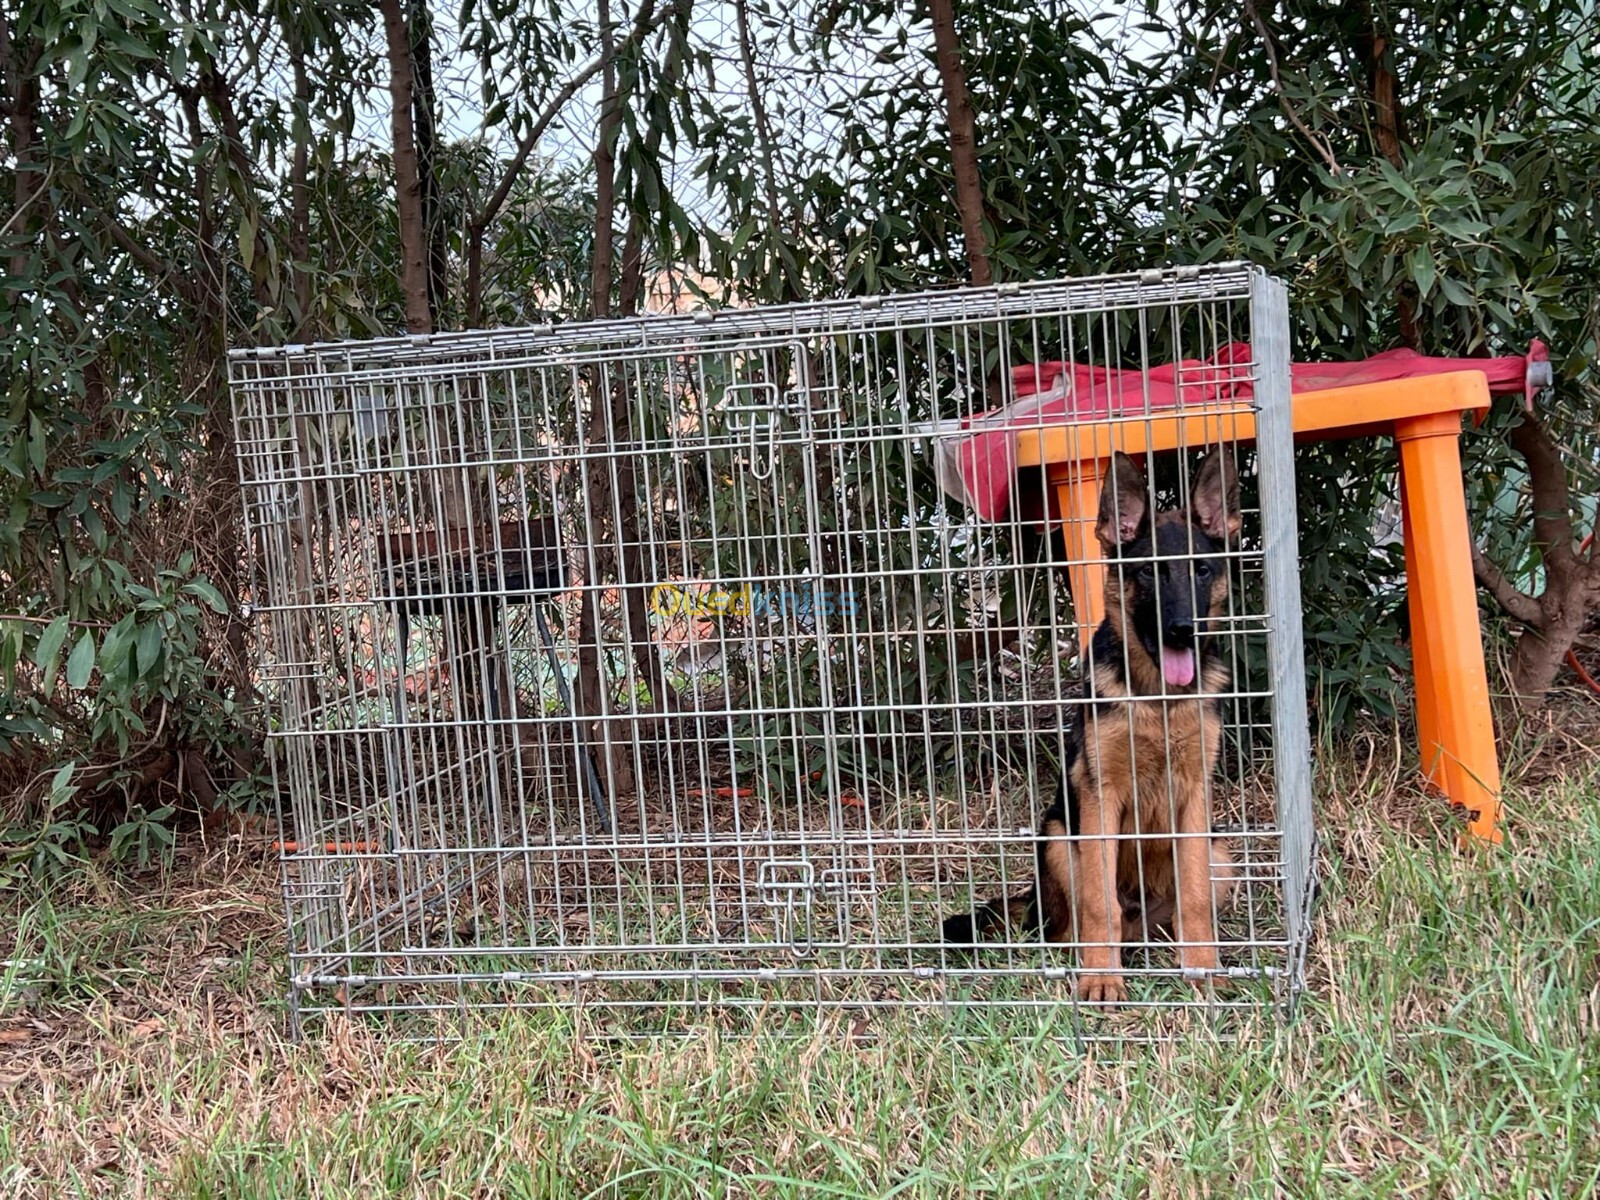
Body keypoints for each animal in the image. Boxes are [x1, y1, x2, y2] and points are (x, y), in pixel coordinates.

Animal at [940, 448, 1241, 998]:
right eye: (1147, 574)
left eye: (1203, 571)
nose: (1183, 630)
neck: (1156, 699)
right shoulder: (1100, 798)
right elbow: (1100, 904)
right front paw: (1101, 977)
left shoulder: (1193, 798)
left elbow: (1193, 897)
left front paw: (1202, 966)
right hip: (1060, 835)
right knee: (1075, 924)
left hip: (1219, 850)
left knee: (1167, 916)